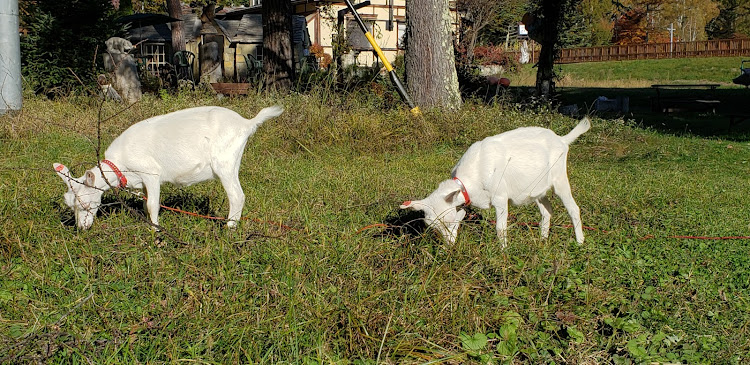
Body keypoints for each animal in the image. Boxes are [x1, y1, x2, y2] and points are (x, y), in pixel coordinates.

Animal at [52, 104, 282, 228]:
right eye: (70, 205)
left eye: (85, 204)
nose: (82, 228)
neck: (119, 166)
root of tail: (246, 123)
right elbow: (145, 204)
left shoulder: (150, 173)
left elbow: (153, 205)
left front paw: (156, 233)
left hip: (225, 162)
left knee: (237, 196)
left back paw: (230, 229)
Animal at [402, 116, 592, 246]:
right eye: (433, 226)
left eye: (447, 221)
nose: (448, 245)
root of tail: (561, 139)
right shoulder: (465, 202)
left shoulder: (500, 197)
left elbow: (500, 228)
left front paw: (503, 251)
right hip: (538, 189)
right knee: (547, 211)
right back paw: (542, 240)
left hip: (560, 178)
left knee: (573, 209)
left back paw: (579, 242)